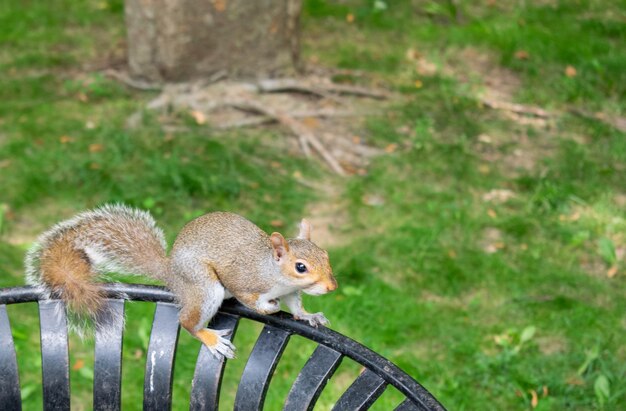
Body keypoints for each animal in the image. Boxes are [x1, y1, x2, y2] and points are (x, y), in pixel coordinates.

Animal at [25, 204, 336, 358]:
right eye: (300, 267)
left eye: (326, 254)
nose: (332, 286)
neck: (275, 272)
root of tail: (172, 272)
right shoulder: (244, 280)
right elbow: (251, 298)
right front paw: (269, 307)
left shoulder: (291, 291)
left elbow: (296, 306)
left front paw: (310, 316)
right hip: (204, 286)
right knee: (187, 321)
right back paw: (210, 338)